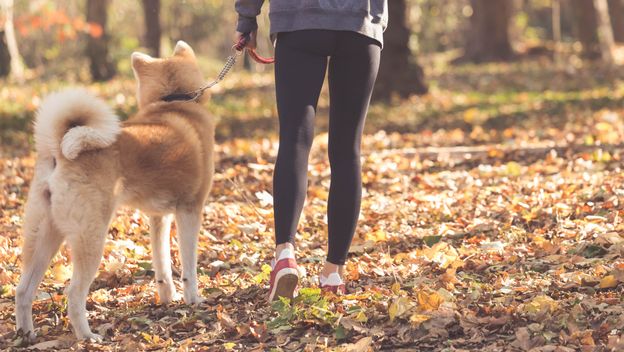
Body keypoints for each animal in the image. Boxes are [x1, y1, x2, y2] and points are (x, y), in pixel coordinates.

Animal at [15, 40, 214, 340]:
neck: (174, 103)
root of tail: (59, 150)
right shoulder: (190, 210)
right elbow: (188, 266)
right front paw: (193, 299)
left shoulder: (159, 216)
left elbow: (162, 265)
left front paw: (168, 297)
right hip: (90, 238)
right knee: (73, 294)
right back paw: (87, 337)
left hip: (44, 236)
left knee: (23, 290)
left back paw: (25, 335)